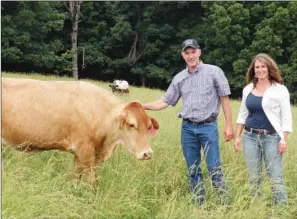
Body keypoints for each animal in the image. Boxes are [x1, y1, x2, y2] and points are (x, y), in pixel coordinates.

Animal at [1, 78, 158, 187]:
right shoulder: (85, 151)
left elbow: (76, 177)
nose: (148, 153)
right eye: (131, 124)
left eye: (149, 126)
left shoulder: (79, 154)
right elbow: (92, 181)